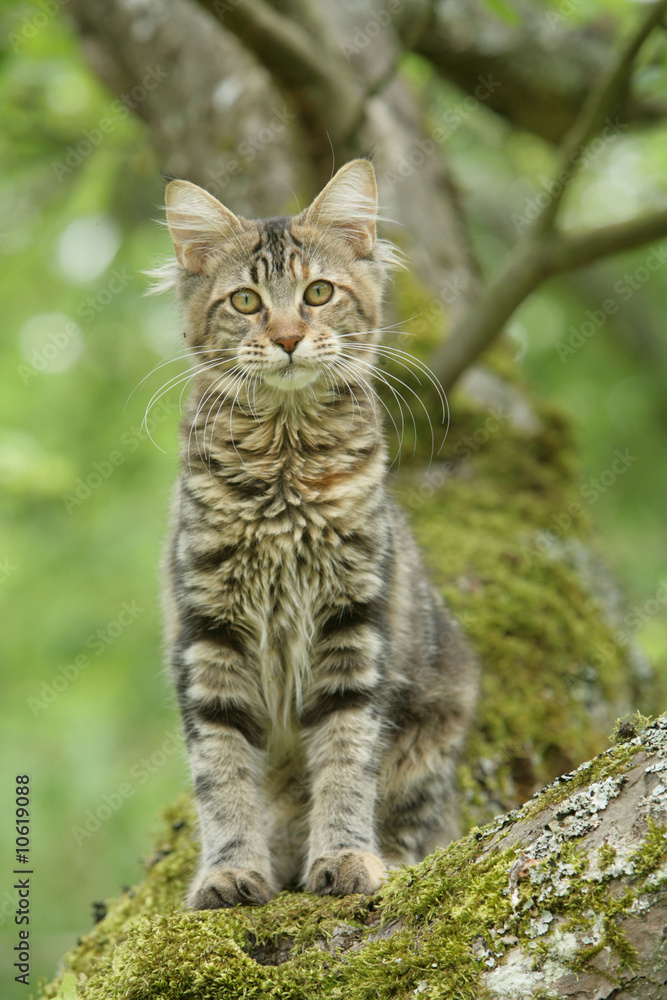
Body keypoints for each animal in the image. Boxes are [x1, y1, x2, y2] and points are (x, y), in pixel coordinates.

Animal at [157, 160, 480, 912]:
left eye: (318, 293)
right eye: (246, 301)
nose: (285, 338)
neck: (284, 465)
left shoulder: (353, 625)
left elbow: (344, 762)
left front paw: (344, 858)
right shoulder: (208, 634)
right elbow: (222, 777)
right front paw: (230, 872)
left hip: (436, 724)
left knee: (416, 820)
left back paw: (387, 855)